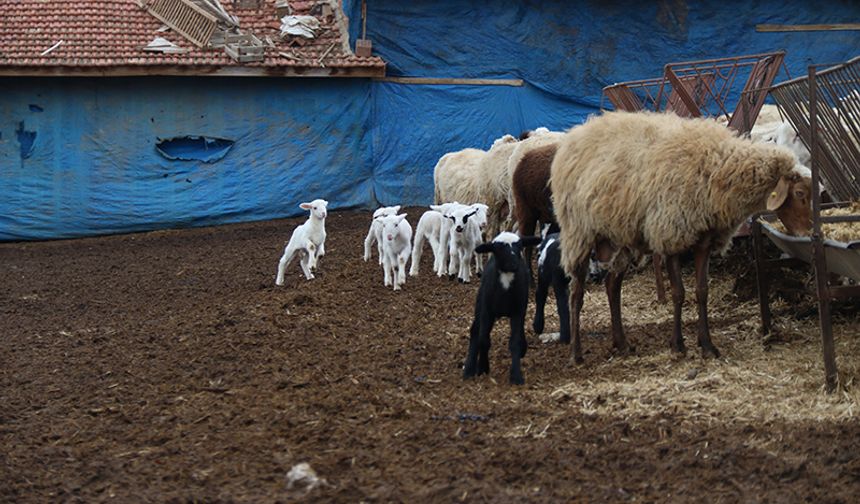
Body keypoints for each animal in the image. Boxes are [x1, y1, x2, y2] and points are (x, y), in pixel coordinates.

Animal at [466, 233, 540, 386]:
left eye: (520, 246)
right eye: (498, 248)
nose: (514, 264)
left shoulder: (518, 311)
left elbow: (515, 342)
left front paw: (516, 376)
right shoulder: (486, 311)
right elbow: (483, 340)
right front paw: (482, 367)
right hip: (480, 303)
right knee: (475, 331)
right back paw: (468, 369)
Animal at [552, 110, 812, 362]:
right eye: (800, 193)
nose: (807, 233)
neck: (717, 170)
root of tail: (576, 134)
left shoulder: (704, 242)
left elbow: (701, 291)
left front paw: (707, 346)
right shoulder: (671, 236)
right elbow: (678, 293)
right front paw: (678, 345)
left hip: (621, 237)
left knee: (612, 285)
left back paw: (622, 344)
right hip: (579, 233)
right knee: (576, 293)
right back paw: (575, 354)